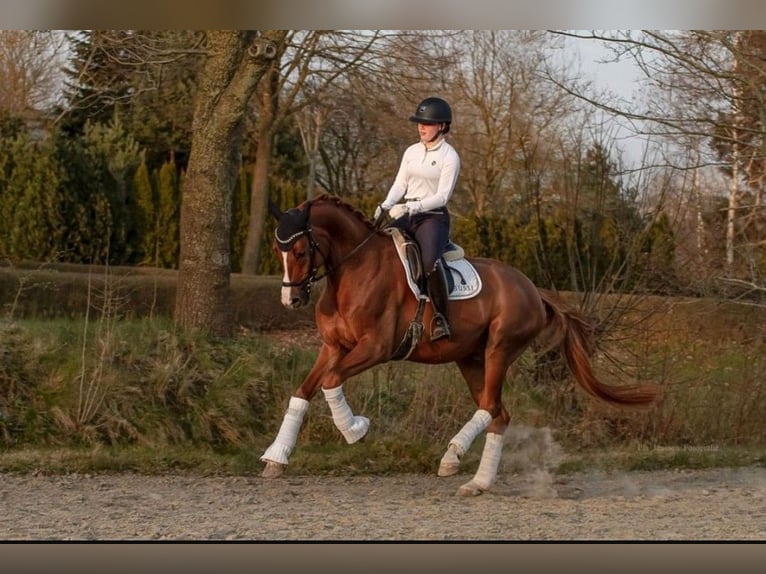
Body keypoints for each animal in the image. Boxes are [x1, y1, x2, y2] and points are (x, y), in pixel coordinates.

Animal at [260, 195, 660, 500]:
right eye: (278, 250)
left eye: (299, 250)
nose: (290, 300)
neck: (354, 270)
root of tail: (534, 290)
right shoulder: (333, 347)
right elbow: (303, 391)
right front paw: (276, 457)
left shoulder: (375, 347)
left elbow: (331, 381)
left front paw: (355, 428)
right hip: (469, 359)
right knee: (499, 414)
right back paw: (477, 482)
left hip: (499, 349)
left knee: (490, 407)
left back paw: (452, 457)